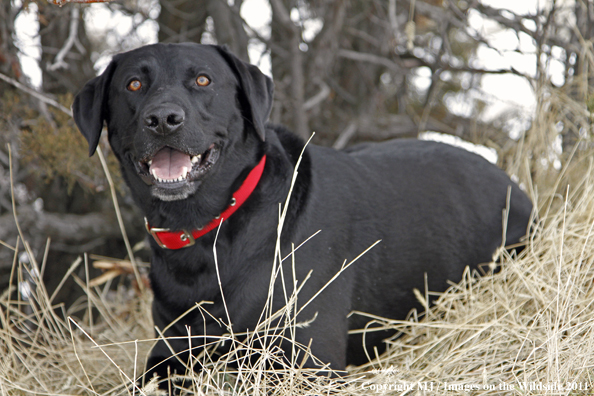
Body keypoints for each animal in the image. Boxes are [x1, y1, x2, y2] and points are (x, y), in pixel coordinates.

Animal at [70, 43, 532, 386]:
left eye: (203, 79)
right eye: (133, 84)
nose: (163, 119)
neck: (206, 232)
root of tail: (513, 184)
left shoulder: (310, 363)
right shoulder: (172, 353)